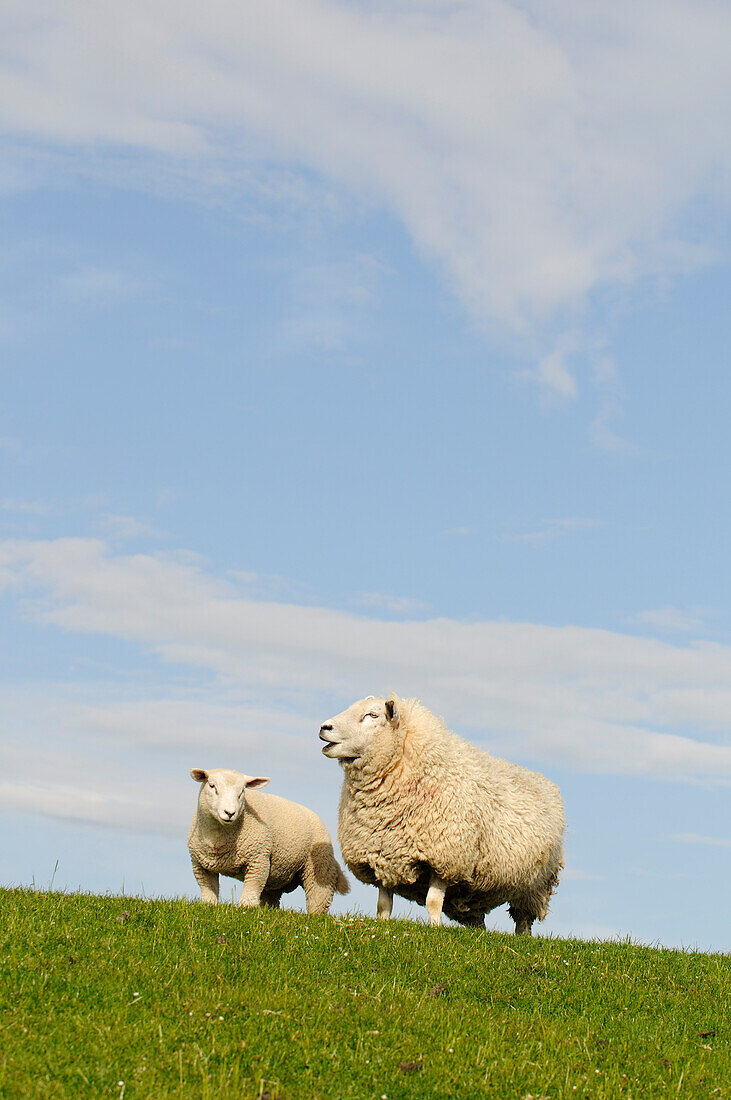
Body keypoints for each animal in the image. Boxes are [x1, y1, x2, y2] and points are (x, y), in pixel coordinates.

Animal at [316, 690, 560, 932]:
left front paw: (435, 929)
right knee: (478, 921)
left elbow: (432, 901)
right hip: (474, 896)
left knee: (523, 919)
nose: (324, 727)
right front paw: (383, 925)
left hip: (535, 885)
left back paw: (521, 936)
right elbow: (383, 904)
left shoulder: (445, 858)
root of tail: (545, 780)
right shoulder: (384, 858)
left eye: (372, 715)